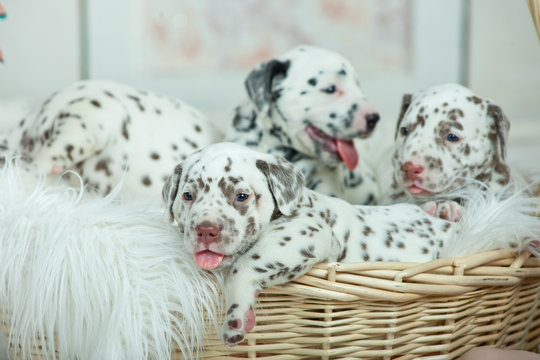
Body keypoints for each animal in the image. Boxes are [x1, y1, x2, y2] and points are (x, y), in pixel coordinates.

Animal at [163, 142, 540, 348]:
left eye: (241, 196)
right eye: (188, 196)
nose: (206, 230)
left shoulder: (306, 233)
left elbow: (242, 267)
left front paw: (237, 317)